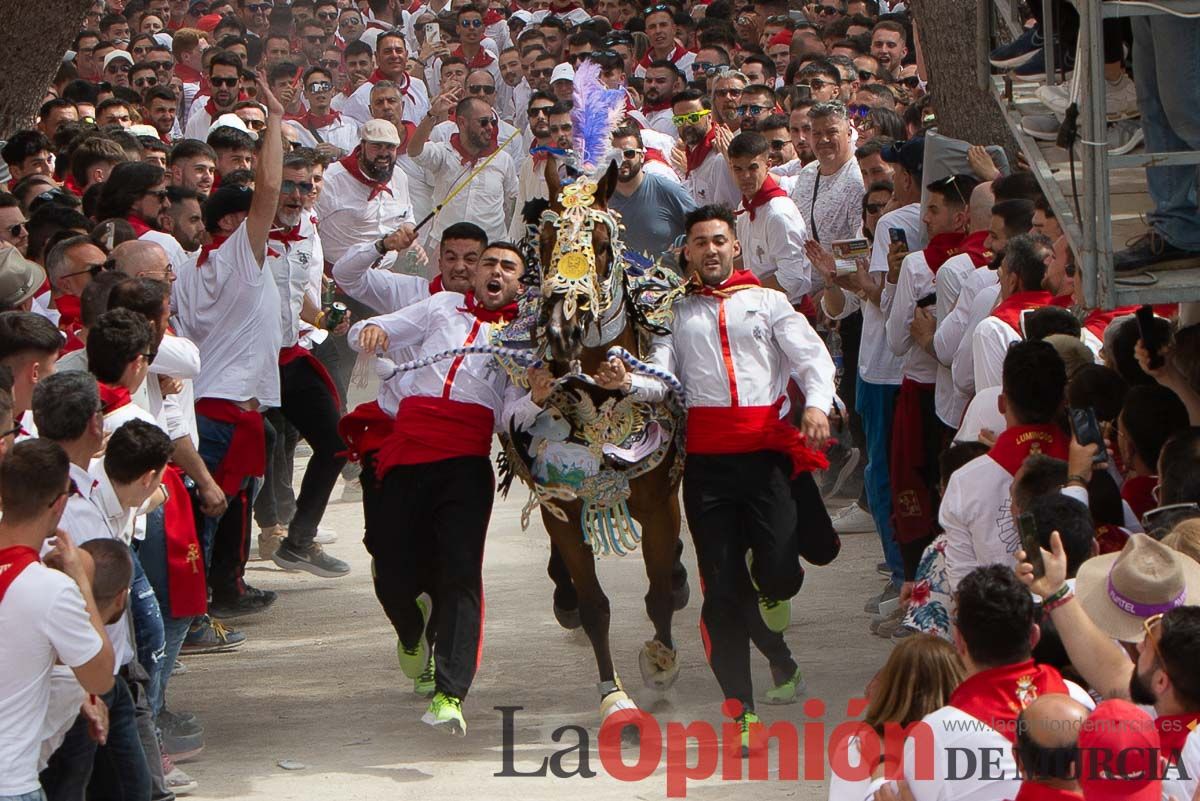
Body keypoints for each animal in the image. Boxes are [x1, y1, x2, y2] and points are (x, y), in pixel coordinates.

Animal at [489, 62, 691, 724]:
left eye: (600, 245)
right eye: (544, 243)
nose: (558, 330)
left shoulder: (658, 497)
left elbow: (657, 590)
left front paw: (661, 662)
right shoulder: (564, 500)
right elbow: (597, 602)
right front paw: (616, 700)